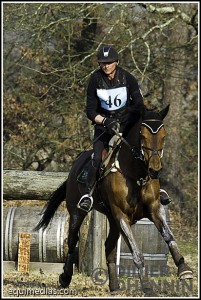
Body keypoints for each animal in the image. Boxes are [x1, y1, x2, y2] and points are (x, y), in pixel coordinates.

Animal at [35, 104, 193, 292]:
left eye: (164, 135)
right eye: (142, 135)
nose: (154, 170)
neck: (136, 175)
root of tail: (76, 165)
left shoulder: (155, 209)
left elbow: (169, 237)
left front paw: (184, 269)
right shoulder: (121, 215)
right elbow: (136, 251)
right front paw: (146, 285)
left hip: (112, 219)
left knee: (109, 247)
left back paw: (115, 286)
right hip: (77, 212)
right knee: (72, 241)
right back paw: (65, 278)